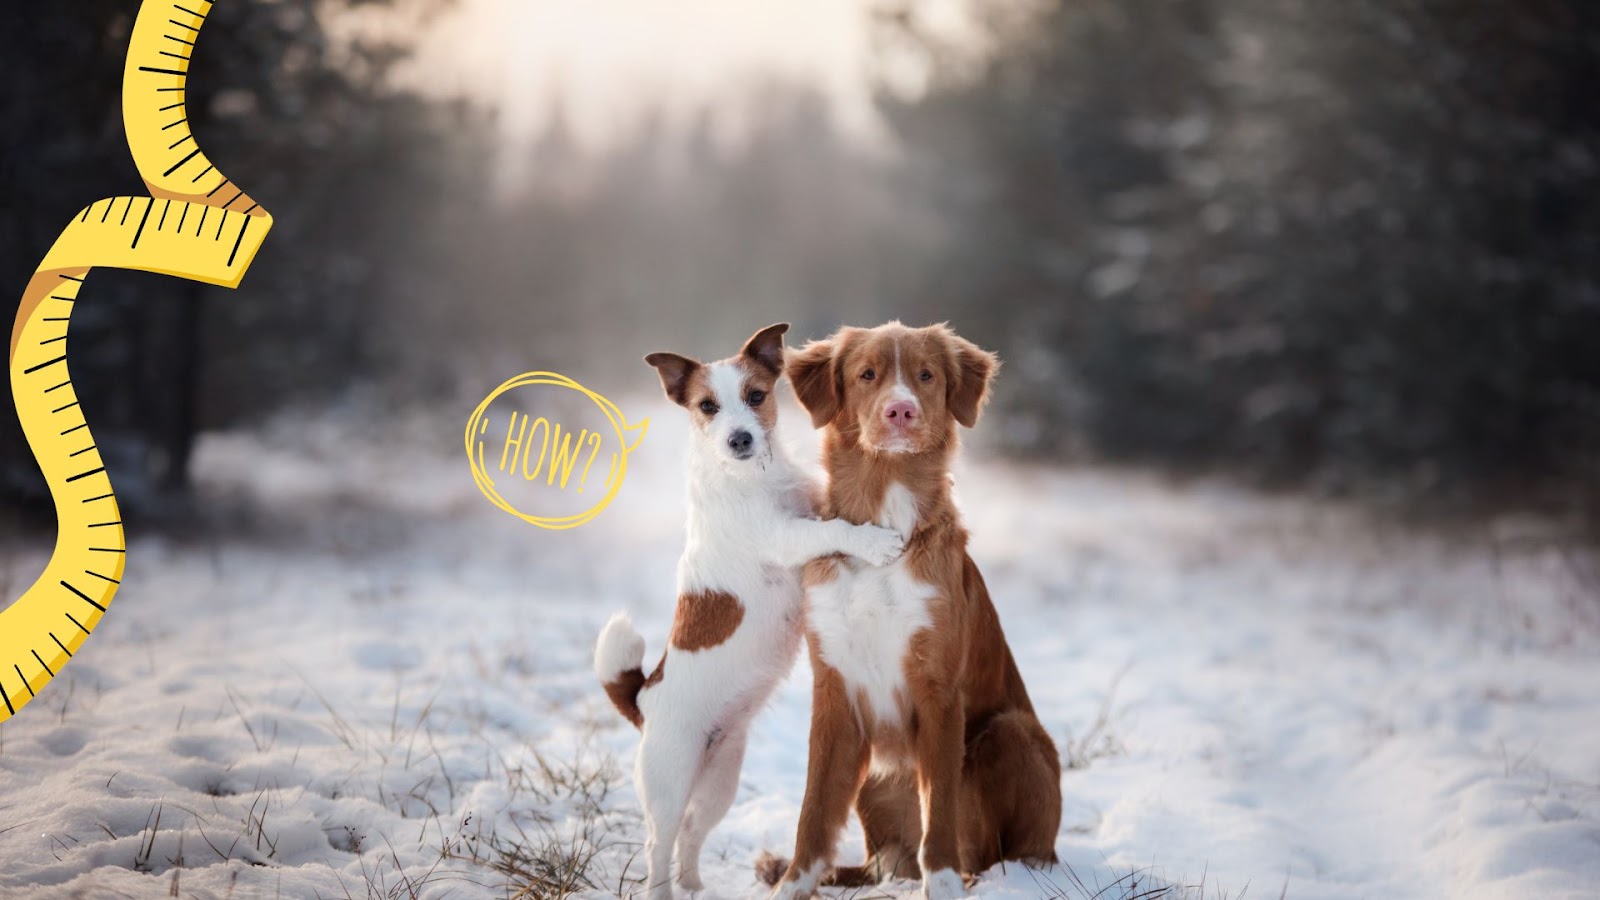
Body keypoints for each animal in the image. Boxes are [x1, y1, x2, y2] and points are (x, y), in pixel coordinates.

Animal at [598, 321, 908, 896]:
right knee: (659, 845)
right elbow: (832, 531)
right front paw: (875, 543)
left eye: (756, 396)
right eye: (707, 407)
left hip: (720, 780)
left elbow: (826, 511)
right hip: (670, 782)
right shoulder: (786, 537)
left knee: (692, 834)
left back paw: (696, 886)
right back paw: (663, 890)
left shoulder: (806, 506)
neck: (752, 478)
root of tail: (643, 700)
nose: (739, 439)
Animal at [761, 321, 1062, 896]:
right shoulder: (834, 688)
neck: (884, 523)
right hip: (875, 776)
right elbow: (814, 810)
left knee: (1001, 849)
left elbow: (939, 808)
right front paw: (792, 883)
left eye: (925, 375)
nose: (900, 411)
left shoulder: (937, 688)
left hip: (1011, 731)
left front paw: (940, 884)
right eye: (867, 375)